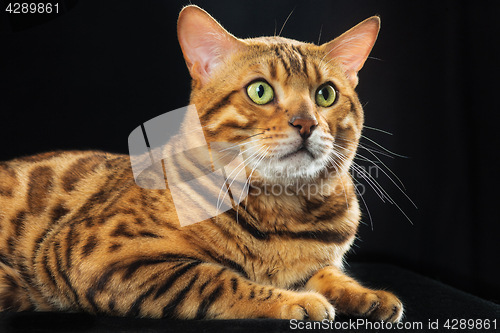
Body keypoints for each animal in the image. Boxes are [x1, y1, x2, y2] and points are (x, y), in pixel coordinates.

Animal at [0, 5, 404, 322]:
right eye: (260, 91)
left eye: (326, 94)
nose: (306, 123)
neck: (284, 213)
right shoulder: (98, 256)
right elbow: (216, 279)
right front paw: (296, 301)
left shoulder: (324, 259)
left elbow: (329, 273)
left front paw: (366, 295)